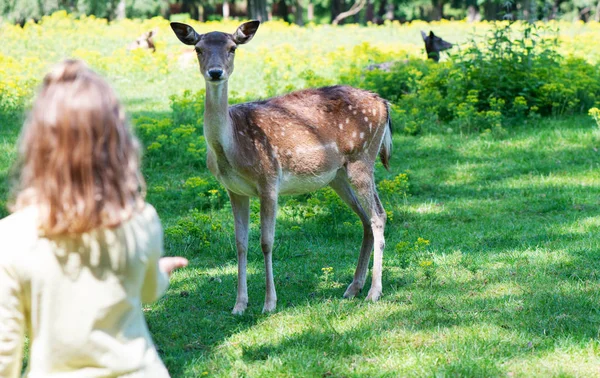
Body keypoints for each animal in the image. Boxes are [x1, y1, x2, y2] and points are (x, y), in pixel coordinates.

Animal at [170, 21, 394, 316]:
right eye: (198, 49)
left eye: (232, 48)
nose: (215, 72)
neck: (231, 147)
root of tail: (384, 103)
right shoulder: (234, 190)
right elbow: (240, 243)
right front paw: (239, 305)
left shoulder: (268, 180)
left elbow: (266, 242)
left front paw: (269, 303)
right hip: (338, 175)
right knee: (365, 218)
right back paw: (352, 287)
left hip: (363, 157)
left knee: (378, 215)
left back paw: (373, 292)